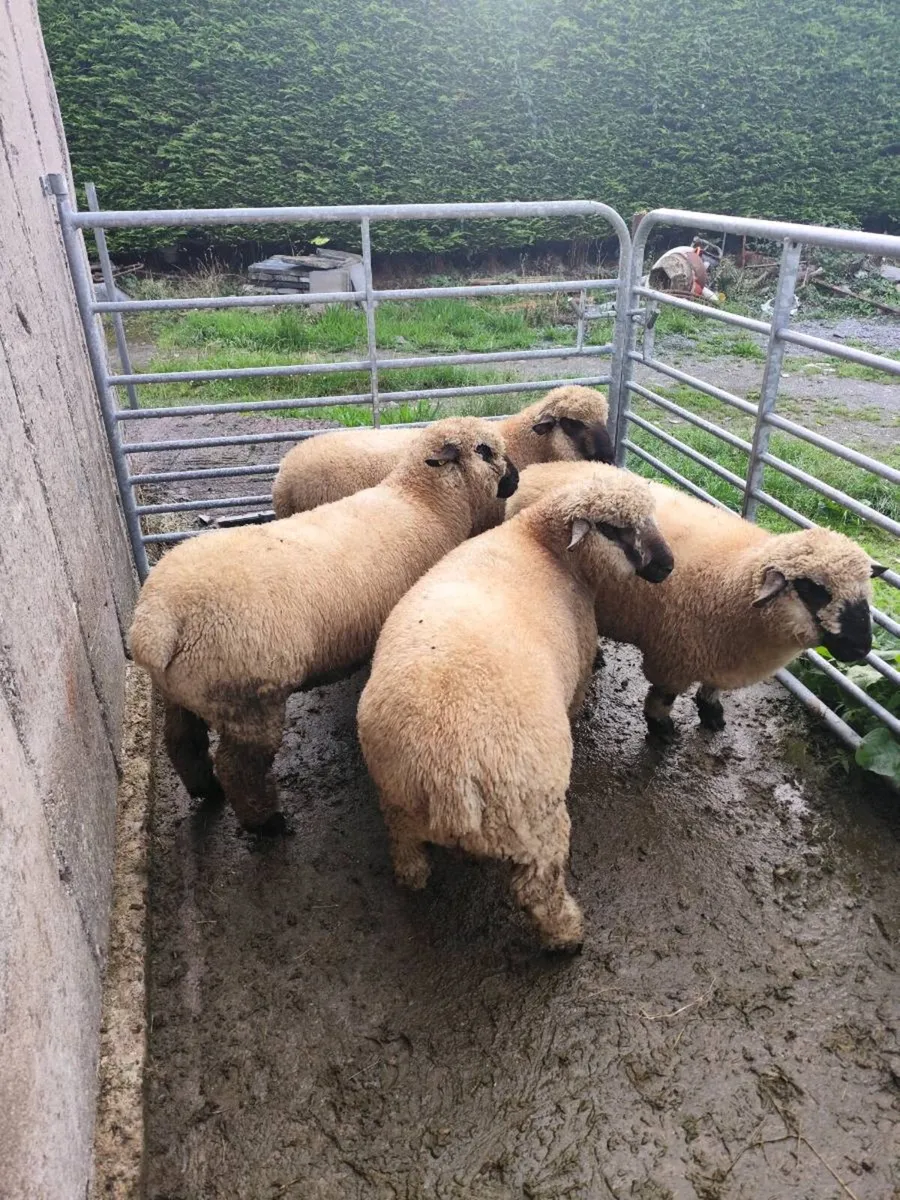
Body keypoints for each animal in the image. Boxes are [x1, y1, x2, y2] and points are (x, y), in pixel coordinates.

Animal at [129, 418, 520, 835]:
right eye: (485, 450)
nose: (515, 479)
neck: (423, 503)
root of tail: (158, 619)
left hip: (182, 691)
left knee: (182, 742)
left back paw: (206, 790)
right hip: (247, 700)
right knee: (239, 769)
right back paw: (266, 823)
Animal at [356, 470, 674, 951]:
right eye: (614, 528)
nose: (667, 565)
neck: (537, 543)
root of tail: (450, 777)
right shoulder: (581, 660)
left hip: (396, 800)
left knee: (406, 851)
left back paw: (414, 880)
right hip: (536, 816)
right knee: (538, 888)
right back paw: (567, 936)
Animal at [505, 461, 886, 738]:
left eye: (865, 590)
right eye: (813, 589)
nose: (862, 647)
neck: (737, 580)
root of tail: (541, 467)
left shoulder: (720, 654)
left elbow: (712, 688)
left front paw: (711, 712)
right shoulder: (674, 654)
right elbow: (663, 697)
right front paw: (661, 729)